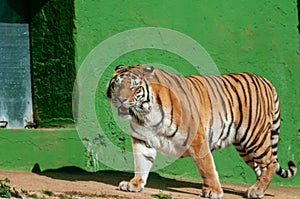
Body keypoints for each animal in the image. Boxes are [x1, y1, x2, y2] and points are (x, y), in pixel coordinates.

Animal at [105, 64, 296, 198]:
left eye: (134, 87)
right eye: (117, 86)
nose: (121, 100)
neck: (144, 114)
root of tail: (267, 81)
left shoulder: (196, 137)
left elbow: (206, 166)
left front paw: (213, 191)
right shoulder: (142, 140)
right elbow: (141, 163)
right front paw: (134, 184)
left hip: (254, 137)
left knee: (270, 162)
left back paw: (257, 191)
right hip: (244, 146)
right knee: (260, 167)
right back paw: (257, 189)